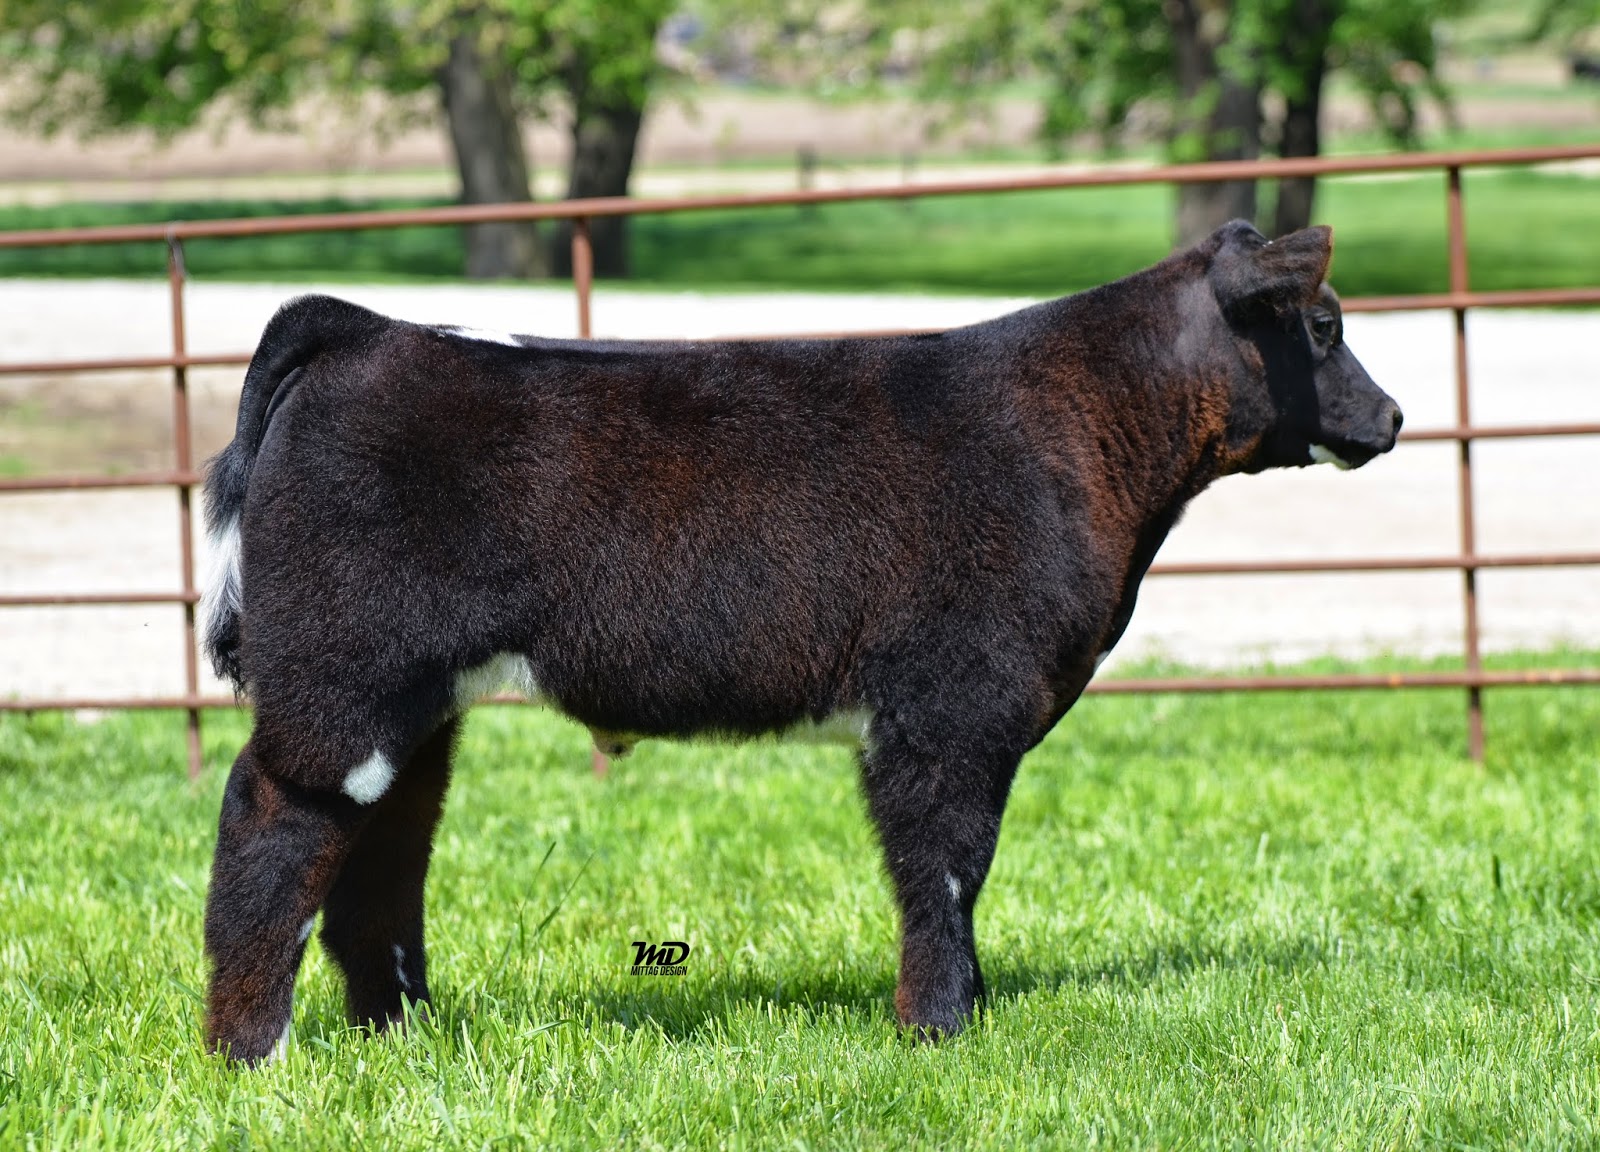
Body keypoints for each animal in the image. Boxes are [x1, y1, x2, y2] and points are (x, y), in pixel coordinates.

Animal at [198, 219, 1402, 1064]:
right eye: (1324, 326)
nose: (1391, 418)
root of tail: (370, 330)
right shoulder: (948, 707)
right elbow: (944, 868)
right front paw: (938, 1028)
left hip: (414, 703)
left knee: (383, 852)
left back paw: (399, 1032)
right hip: (342, 684)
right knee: (274, 824)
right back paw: (251, 1052)